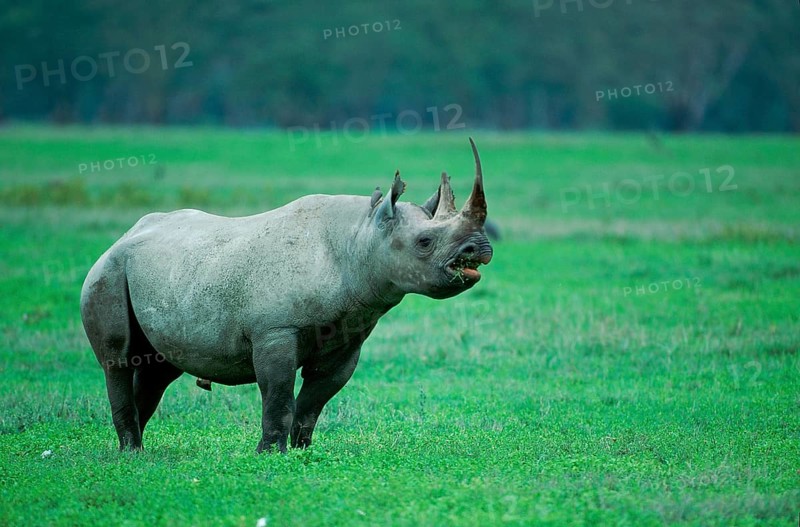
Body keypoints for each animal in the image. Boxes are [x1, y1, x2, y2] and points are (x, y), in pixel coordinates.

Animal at [80, 138, 493, 453]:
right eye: (424, 242)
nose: (481, 249)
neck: (360, 240)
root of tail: (123, 236)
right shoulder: (275, 331)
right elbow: (278, 393)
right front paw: (270, 454)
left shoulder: (348, 337)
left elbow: (314, 400)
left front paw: (301, 451)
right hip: (108, 272)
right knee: (118, 360)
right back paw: (131, 452)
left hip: (161, 272)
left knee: (157, 368)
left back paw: (135, 448)